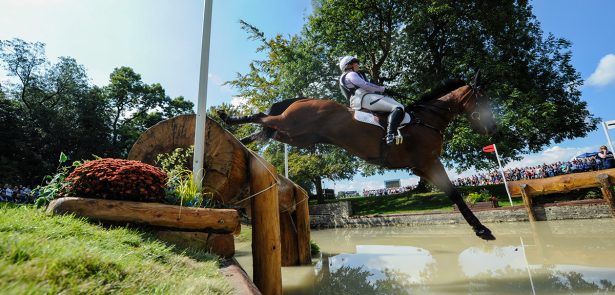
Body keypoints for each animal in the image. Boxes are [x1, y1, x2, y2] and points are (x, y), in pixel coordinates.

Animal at [219, 75, 498, 242]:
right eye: (482, 100)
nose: (492, 129)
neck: (427, 119)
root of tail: (305, 99)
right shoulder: (428, 162)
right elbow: (455, 193)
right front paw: (482, 229)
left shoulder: (421, 167)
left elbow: (452, 193)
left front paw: (480, 228)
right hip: (292, 124)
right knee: (262, 117)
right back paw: (227, 119)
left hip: (295, 135)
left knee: (266, 129)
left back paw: (241, 140)